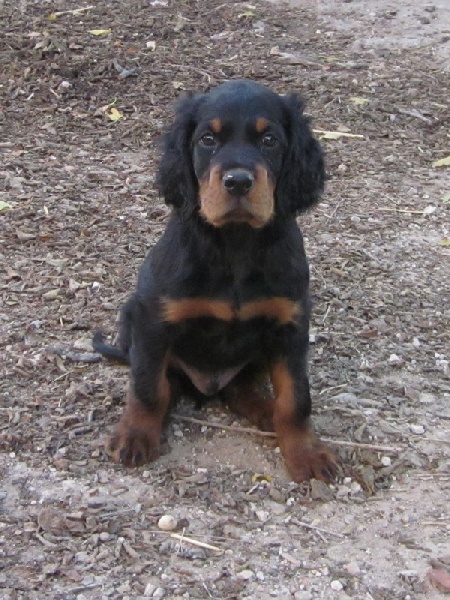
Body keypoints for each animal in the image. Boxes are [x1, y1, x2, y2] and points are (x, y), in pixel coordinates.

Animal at [93, 80, 338, 482]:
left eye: (269, 140)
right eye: (208, 139)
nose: (238, 182)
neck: (236, 243)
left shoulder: (290, 324)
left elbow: (295, 398)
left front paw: (305, 452)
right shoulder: (154, 318)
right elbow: (147, 386)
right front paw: (135, 435)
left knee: (240, 389)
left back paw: (265, 411)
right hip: (133, 314)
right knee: (167, 383)